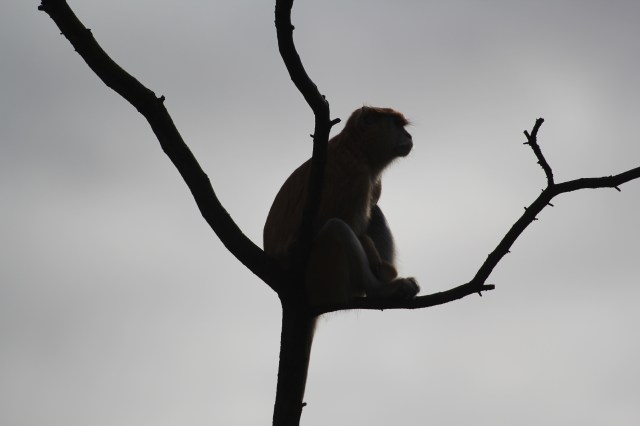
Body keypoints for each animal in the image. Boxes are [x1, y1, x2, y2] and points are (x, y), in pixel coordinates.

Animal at [263, 106, 420, 306]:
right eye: (396, 123)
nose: (409, 136)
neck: (355, 146)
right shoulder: (356, 176)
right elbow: (345, 224)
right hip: (320, 277)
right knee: (336, 228)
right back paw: (380, 290)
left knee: (372, 212)